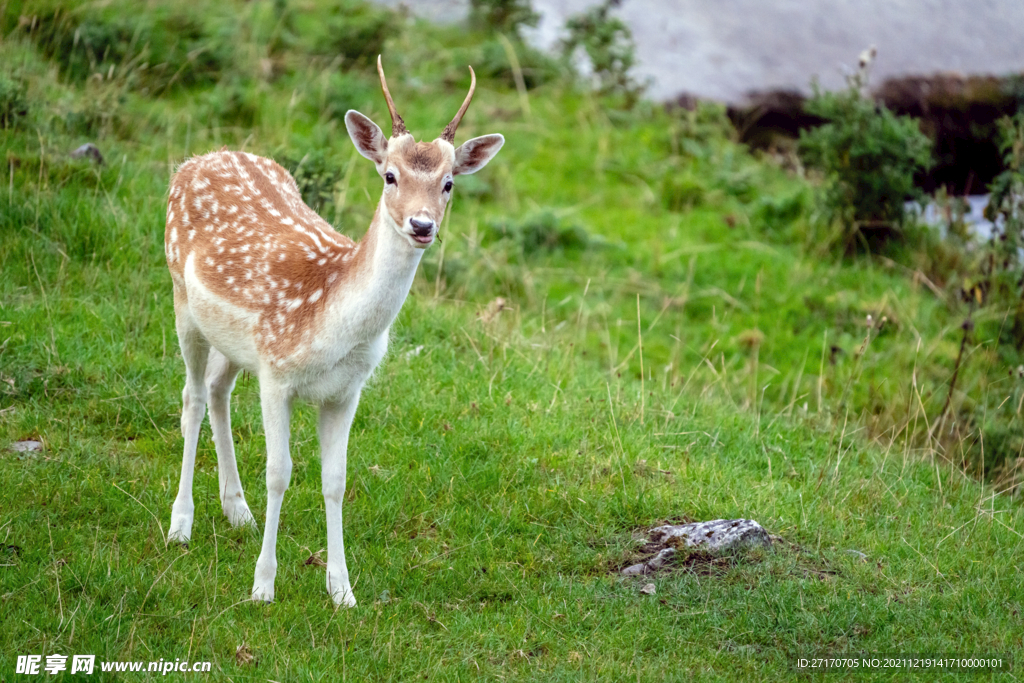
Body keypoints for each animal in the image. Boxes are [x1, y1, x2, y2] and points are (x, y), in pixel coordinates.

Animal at [160, 56, 507, 606]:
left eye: (449, 182)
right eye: (389, 175)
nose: (422, 225)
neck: (332, 324)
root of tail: (197, 160)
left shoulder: (347, 389)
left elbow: (336, 479)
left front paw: (342, 590)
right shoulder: (276, 373)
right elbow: (279, 473)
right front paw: (263, 586)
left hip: (233, 343)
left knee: (216, 389)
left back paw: (237, 510)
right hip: (182, 302)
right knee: (191, 398)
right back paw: (180, 525)